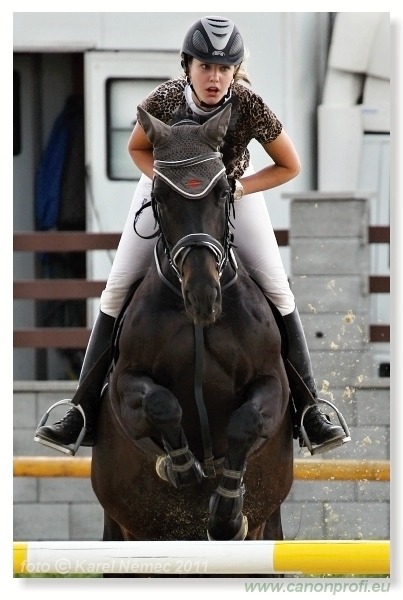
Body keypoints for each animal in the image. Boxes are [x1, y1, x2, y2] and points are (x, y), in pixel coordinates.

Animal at [90, 104, 294, 564]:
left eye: (221, 194)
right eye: (161, 198)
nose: (203, 296)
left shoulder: (272, 383)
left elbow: (246, 422)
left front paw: (226, 515)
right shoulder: (125, 385)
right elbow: (161, 403)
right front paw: (180, 465)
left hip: (270, 528)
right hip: (122, 534)